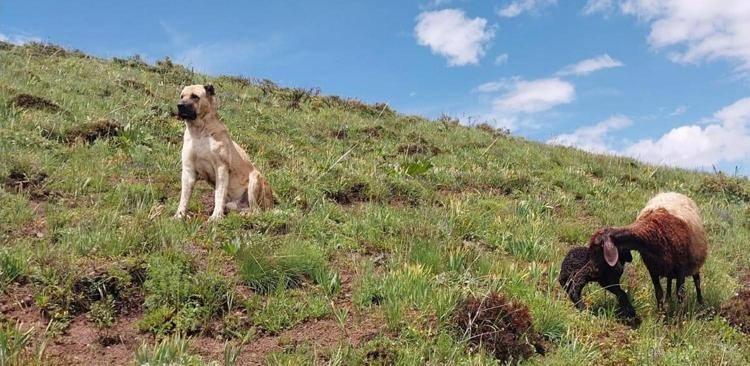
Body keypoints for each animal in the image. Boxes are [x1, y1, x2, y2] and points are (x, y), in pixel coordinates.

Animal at [173, 83, 274, 220]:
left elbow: (219, 195)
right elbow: (184, 196)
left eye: (195, 96)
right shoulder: (188, 170)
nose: (180, 105)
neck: (199, 132)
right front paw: (179, 215)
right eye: (182, 96)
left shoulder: (221, 168)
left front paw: (216, 216)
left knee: (257, 210)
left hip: (255, 179)